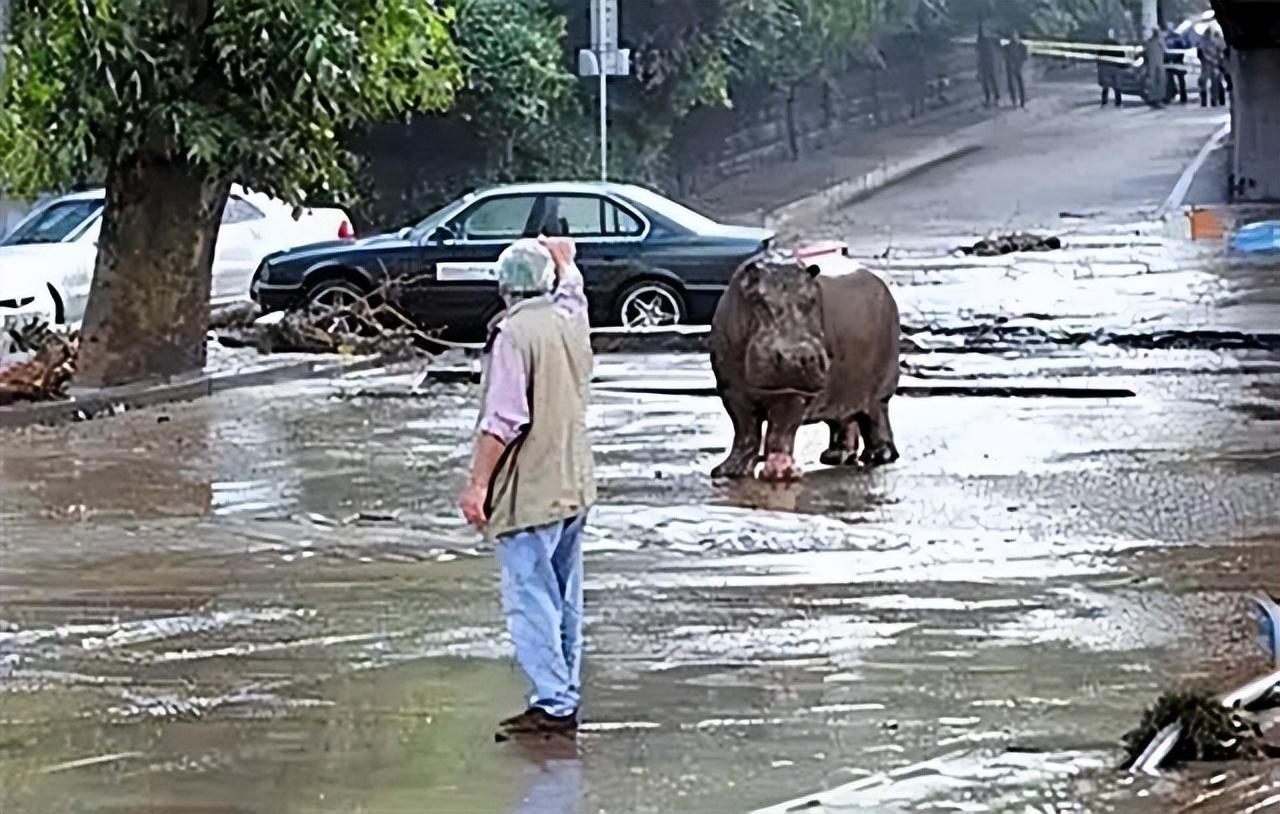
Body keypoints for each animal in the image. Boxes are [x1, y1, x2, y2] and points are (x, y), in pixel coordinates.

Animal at [711, 257, 901, 481]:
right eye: (758, 301)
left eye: (812, 301)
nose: (801, 357)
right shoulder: (733, 392)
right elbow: (745, 431)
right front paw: (728, 471)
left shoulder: (792, 393)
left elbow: (780, 432)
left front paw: (779, 474)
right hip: (844, 391)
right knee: (845, 419)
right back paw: (835, 457)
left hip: (880, 392)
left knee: (876, 418)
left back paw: (879, 456)